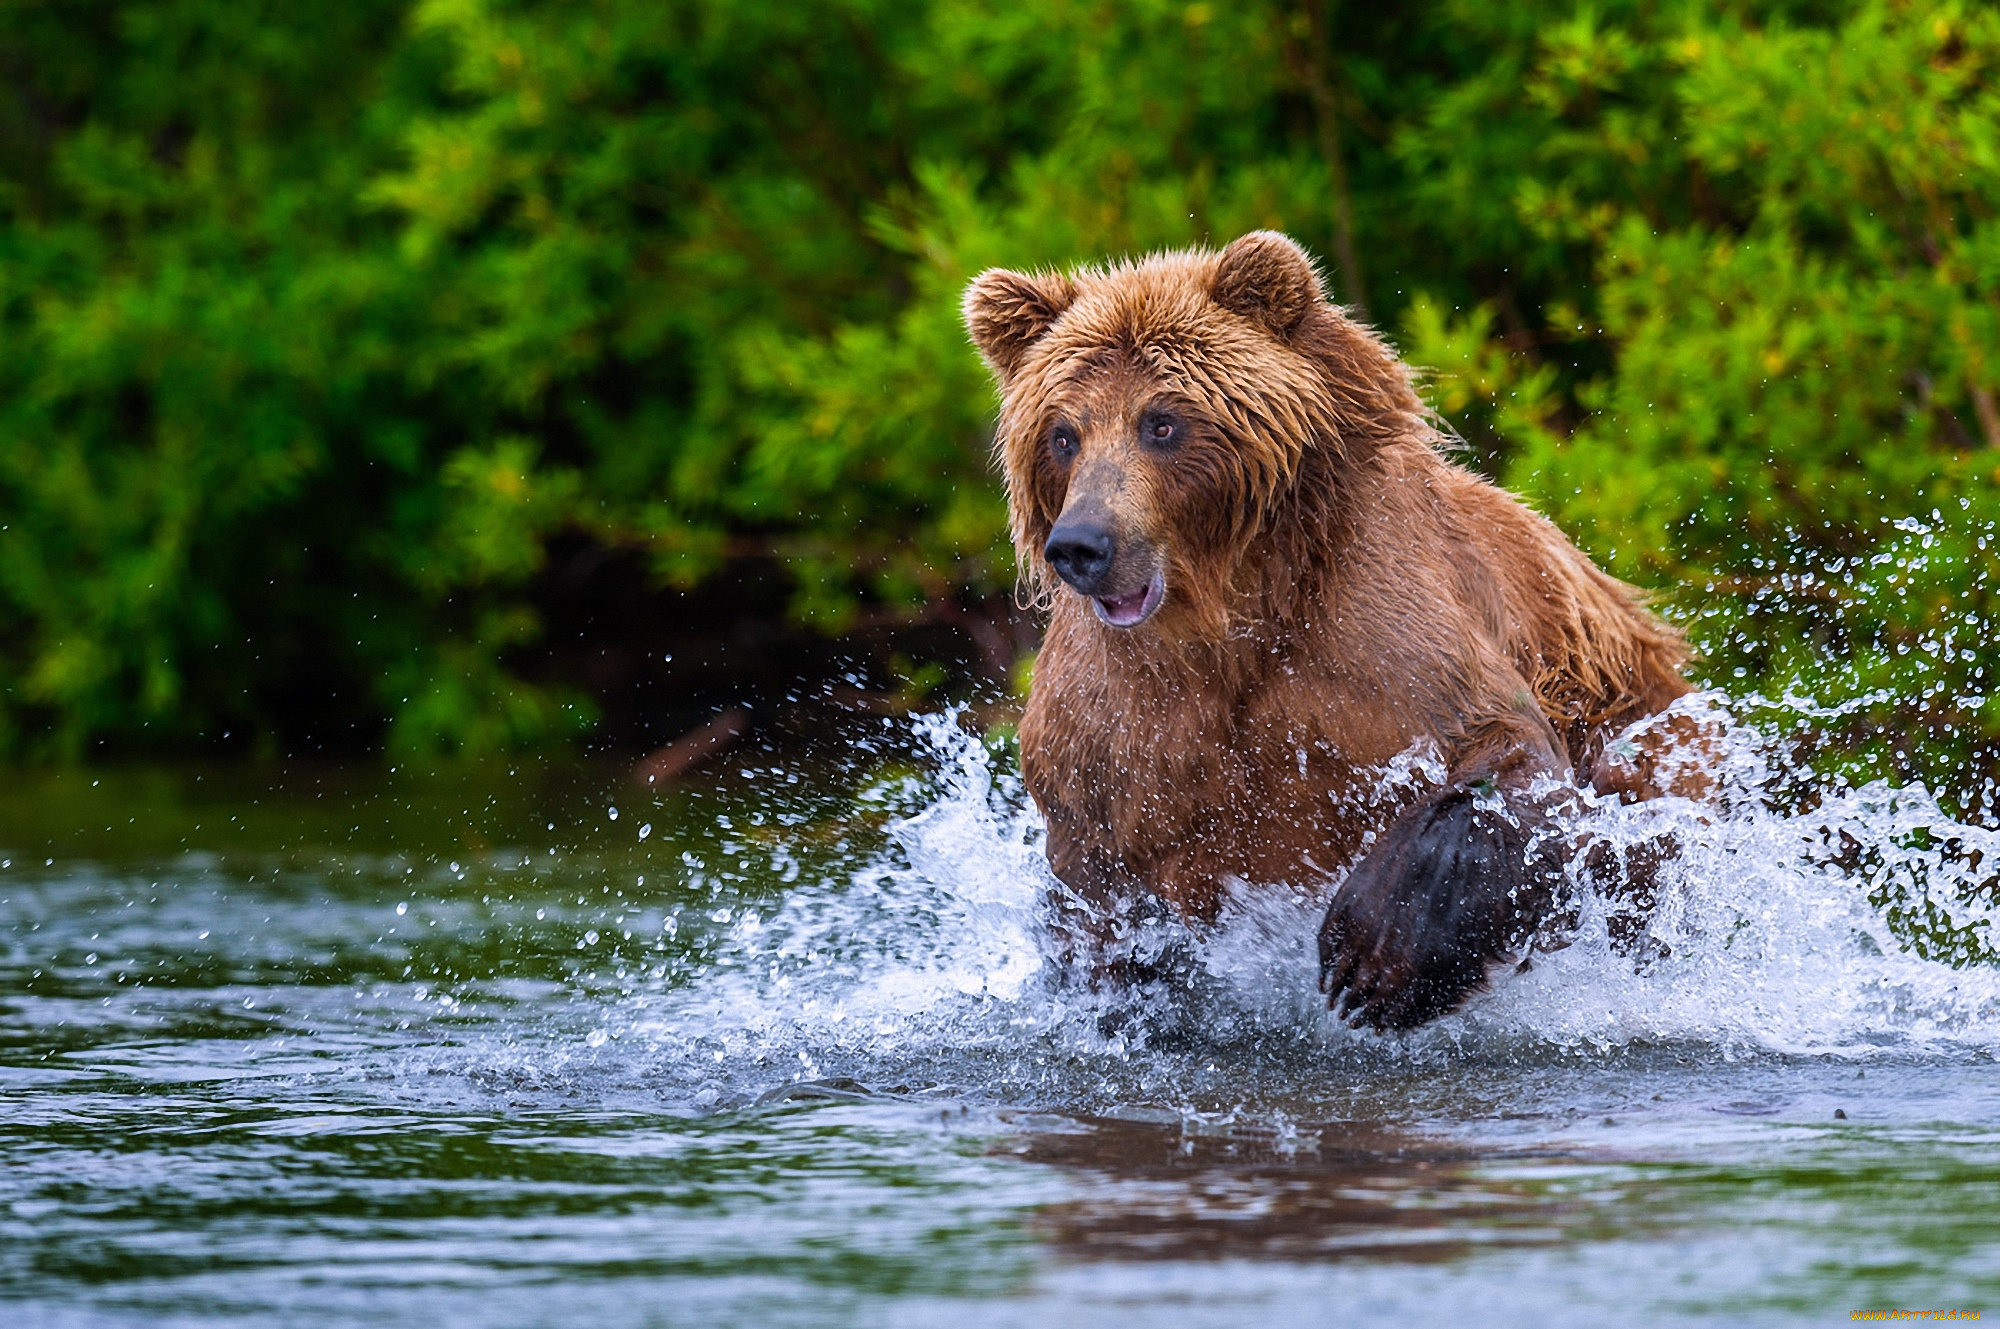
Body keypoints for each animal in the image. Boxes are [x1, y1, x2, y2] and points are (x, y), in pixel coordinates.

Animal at [960, 233, 1696, 1032]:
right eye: (1063, 433)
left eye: (1162, 421)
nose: (1082, 544)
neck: (1226, 622)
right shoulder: (1112, 731)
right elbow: (1097, 897)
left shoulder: (1378, 628)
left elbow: (1504, 756)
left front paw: (1370, 958)